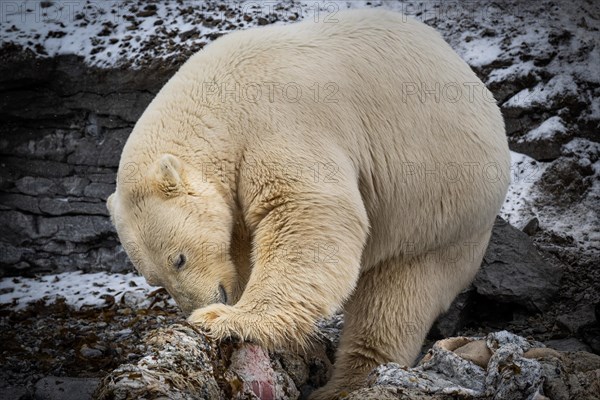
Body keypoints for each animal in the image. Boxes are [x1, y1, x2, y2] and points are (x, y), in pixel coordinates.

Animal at [108, 7, 510, 398]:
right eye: (154, 279)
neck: (218, 101)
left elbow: (307, 212)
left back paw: (345, 383)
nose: (198, 306)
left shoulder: (277, 121)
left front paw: (227, 319)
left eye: (179, 258)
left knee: (394, 299)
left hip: (438, 208)